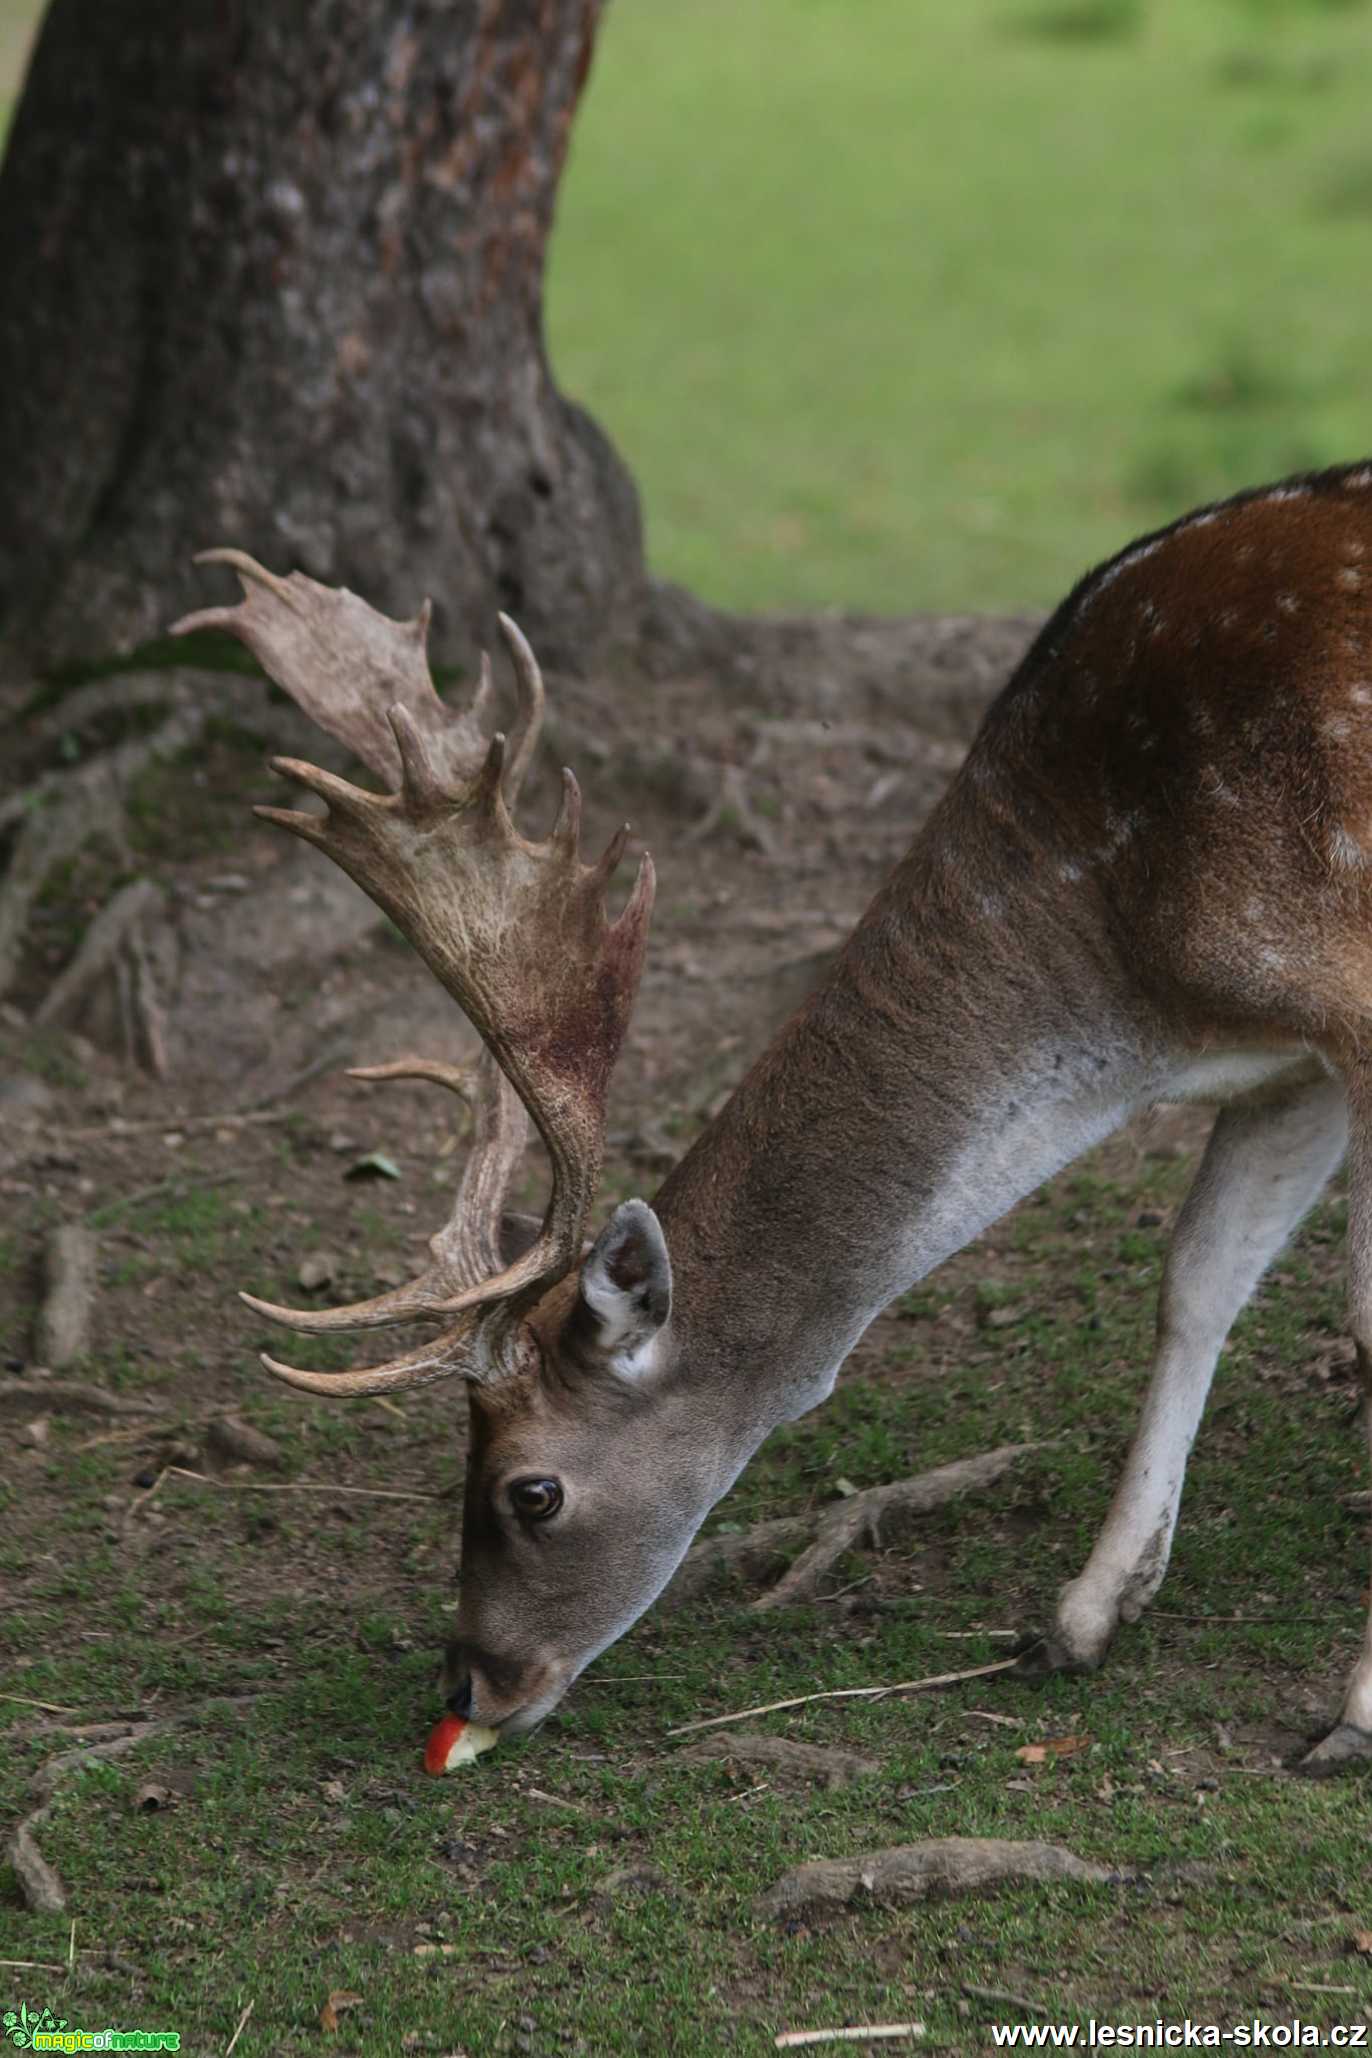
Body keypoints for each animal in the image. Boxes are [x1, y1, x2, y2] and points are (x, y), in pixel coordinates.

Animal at [174, 463, 1372, 1769]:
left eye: (529, 1491)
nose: (470, 1684)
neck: (1138, 975)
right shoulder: (1286, 1064)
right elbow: (1197, 1276)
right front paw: (1084, 1613)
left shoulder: (1346, 1001)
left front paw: (1353, 1708)